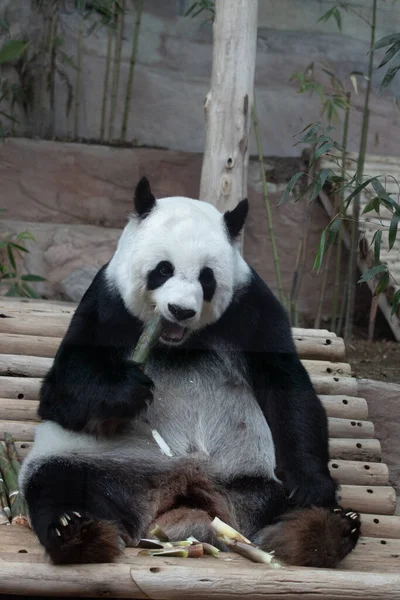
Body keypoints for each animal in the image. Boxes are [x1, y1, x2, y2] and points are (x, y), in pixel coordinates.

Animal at [19, 177, 362, 568]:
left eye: (206, 277)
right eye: (163, 270)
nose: (180, 310)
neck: (178, 343)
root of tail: (184, 501)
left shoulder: (252, 309)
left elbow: (287, 387)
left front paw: (310, 485)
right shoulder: (106, 304)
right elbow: (60, 391)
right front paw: (127, 391)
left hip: (248, 480)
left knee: (283, 506)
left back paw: (325, 532)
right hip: (102, 466)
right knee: (58, 482)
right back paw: (76, 533)